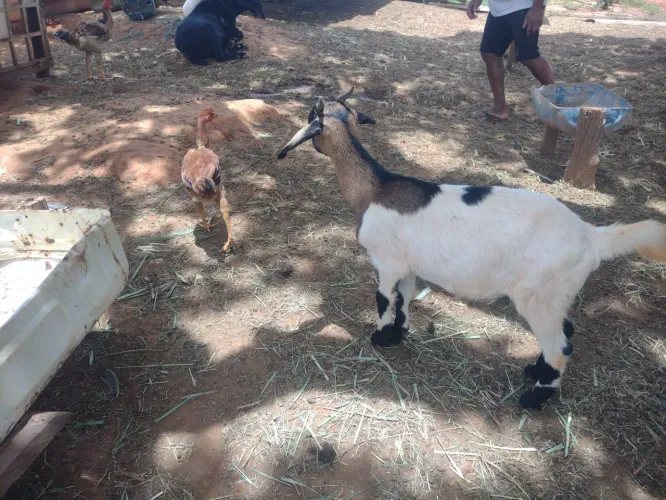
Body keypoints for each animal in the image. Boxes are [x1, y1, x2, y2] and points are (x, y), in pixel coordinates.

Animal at [277, 88, 666, 410]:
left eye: (310, 115)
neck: (375, 188)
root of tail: (590, 235)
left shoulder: (386, 262)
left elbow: (384, 300)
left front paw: (379, 337)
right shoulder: (408, 265)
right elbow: (404, 300)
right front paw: (397, 335)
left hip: (538, 298)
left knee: (560, 346)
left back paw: (535, 398)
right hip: (557, 293)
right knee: (566, 332)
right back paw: (534, 372)